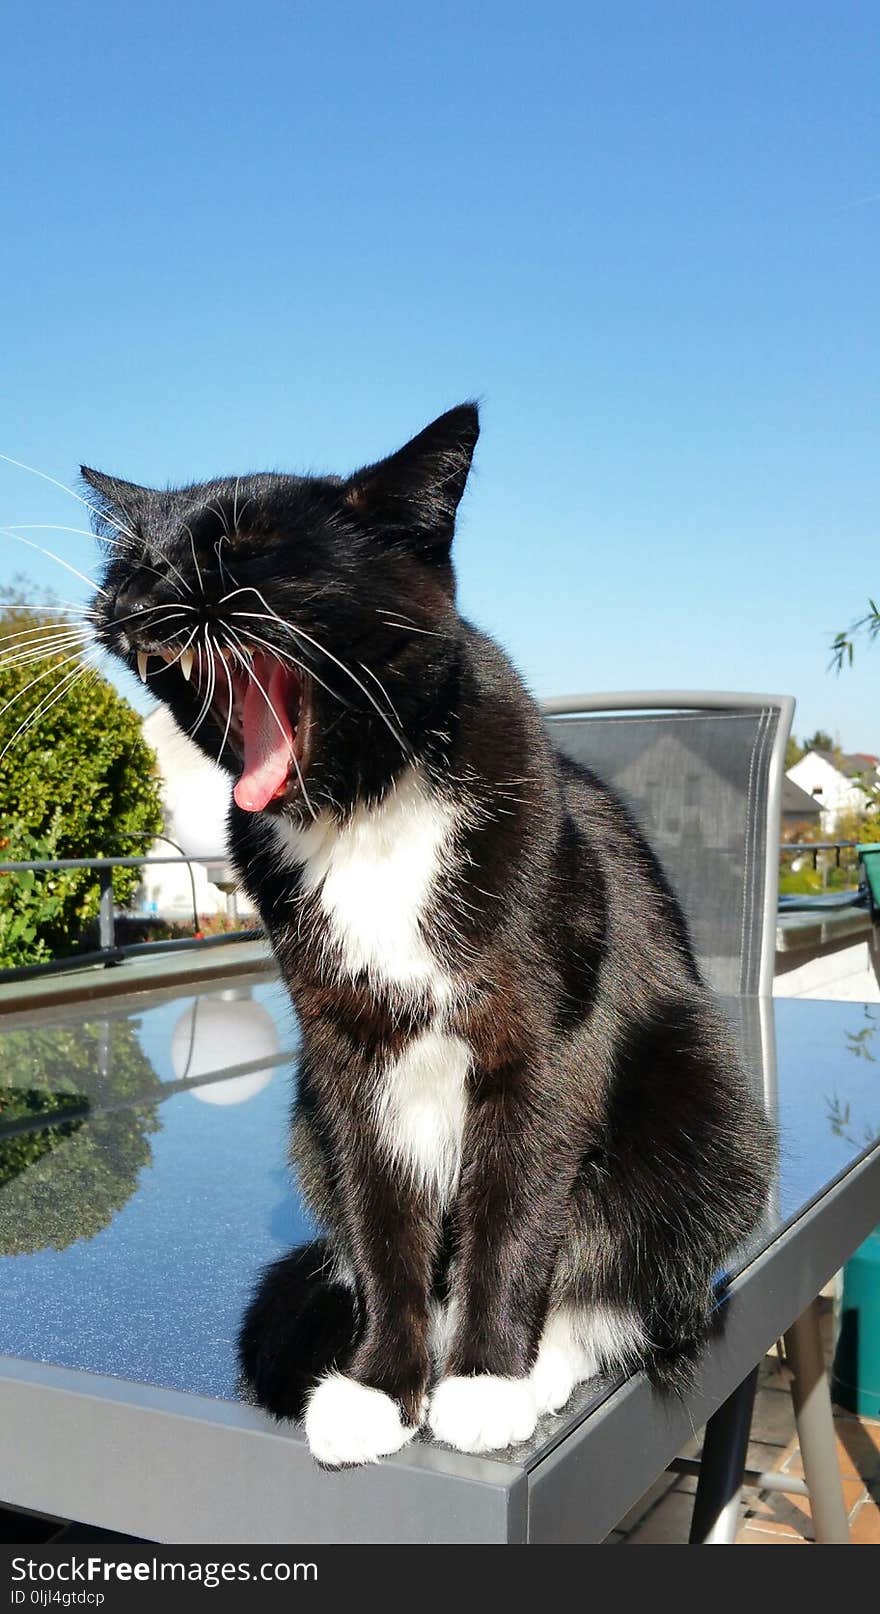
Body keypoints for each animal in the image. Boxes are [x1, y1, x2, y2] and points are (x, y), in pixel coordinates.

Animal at [89, 403, 771, 1465]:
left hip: (705, 1101)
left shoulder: (543, 1039)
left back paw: (544, 1361)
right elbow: (381, 1217)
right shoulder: (344, 1050)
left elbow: (518, 1209)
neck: (364, 810)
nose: (135, 596)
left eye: (247, 546)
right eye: (131, 561)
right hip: (306, 1120)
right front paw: (379, 1387)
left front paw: (487, 1381)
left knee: (629, 1266)